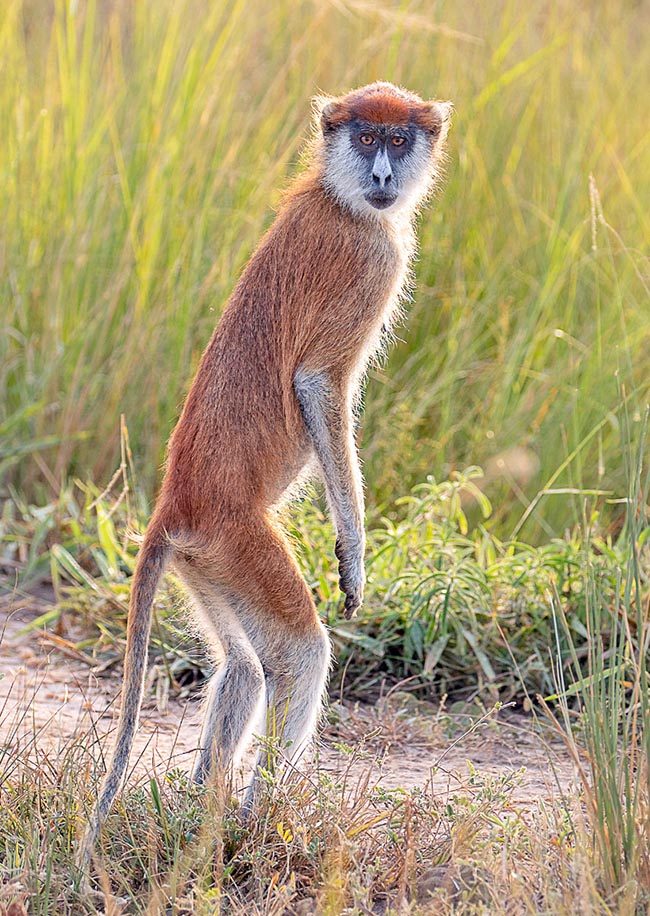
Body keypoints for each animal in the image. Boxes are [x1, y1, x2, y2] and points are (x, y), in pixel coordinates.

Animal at [78, 80, 448, 860]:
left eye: (398, 141)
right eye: (366, 138)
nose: (382, 175)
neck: (338, 196)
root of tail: (177, 500)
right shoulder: (371, 258)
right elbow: (316, 383)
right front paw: (353, 554)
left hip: (207, 559)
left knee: (245, 670)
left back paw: (203, 803)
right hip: (239, 541)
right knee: (301, 652)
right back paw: (257, 820)